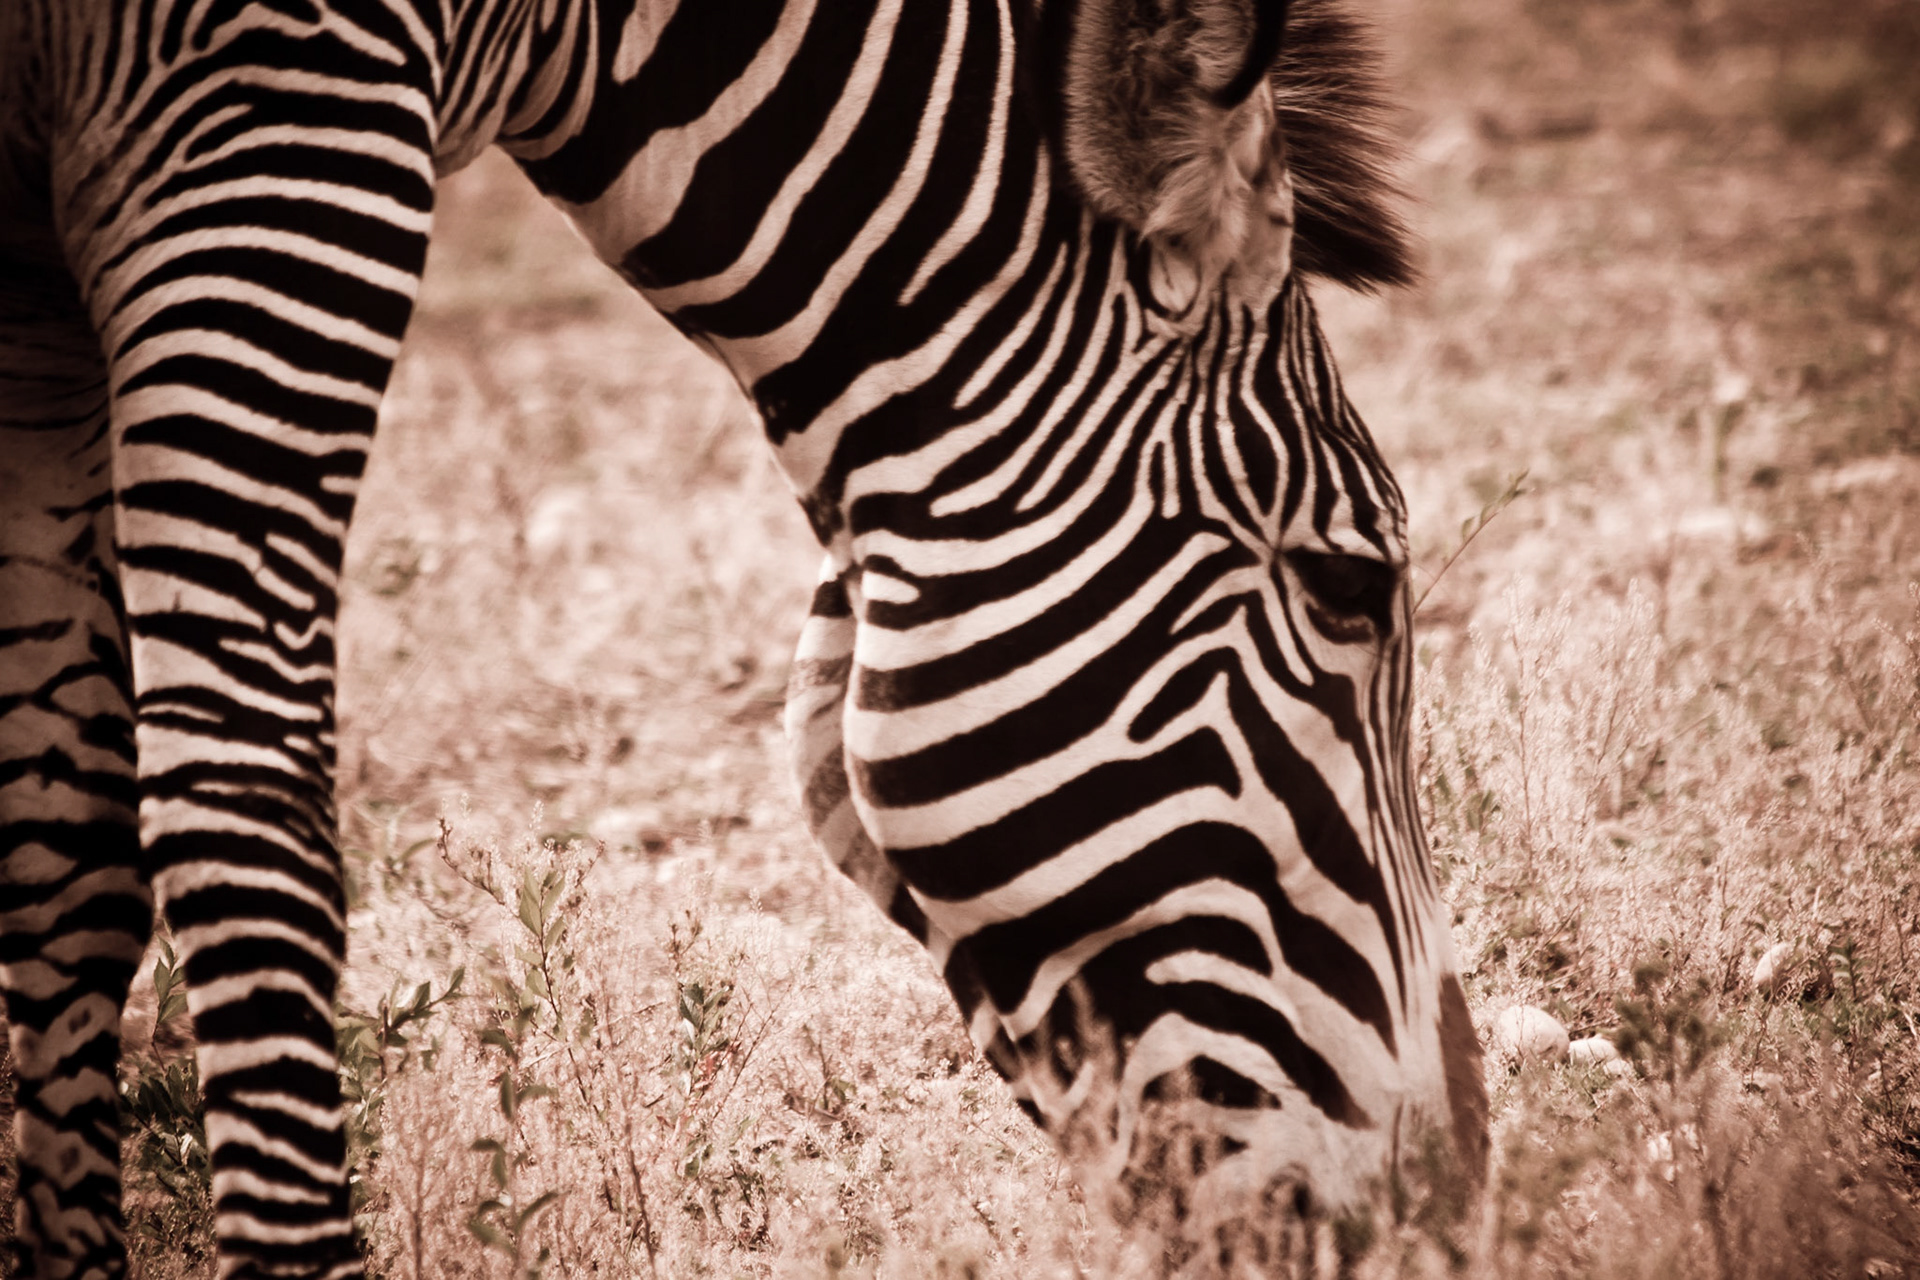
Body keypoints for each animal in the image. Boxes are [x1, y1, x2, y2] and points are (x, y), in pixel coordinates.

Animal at [0, 0, 1487, 1274]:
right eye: (1349, 587)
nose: (1457, 1200)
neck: (584, 31)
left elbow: (65, 849)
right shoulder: (282, 112)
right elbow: (243, 808)